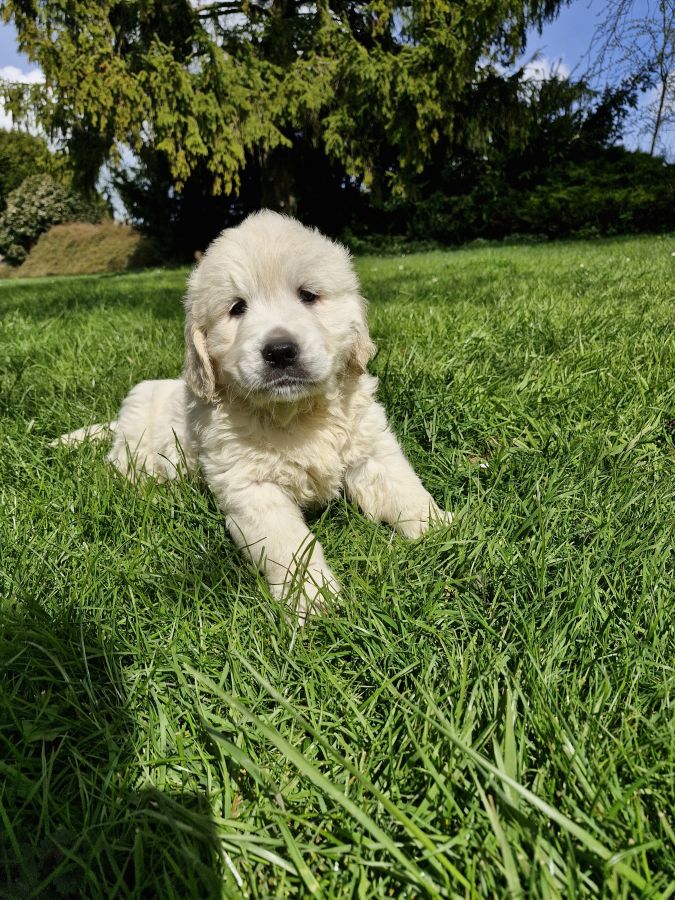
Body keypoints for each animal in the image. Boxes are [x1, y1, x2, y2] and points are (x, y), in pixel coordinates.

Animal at [57, 211, 451, 620]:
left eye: (308, 296)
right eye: (237, 308)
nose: (280, 351)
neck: (296, 414)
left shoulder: (372, 451)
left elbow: (406, 490)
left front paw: (445, 533)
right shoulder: (252, 489)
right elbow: (291, 545)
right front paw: (313, 597)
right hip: (135, 438)